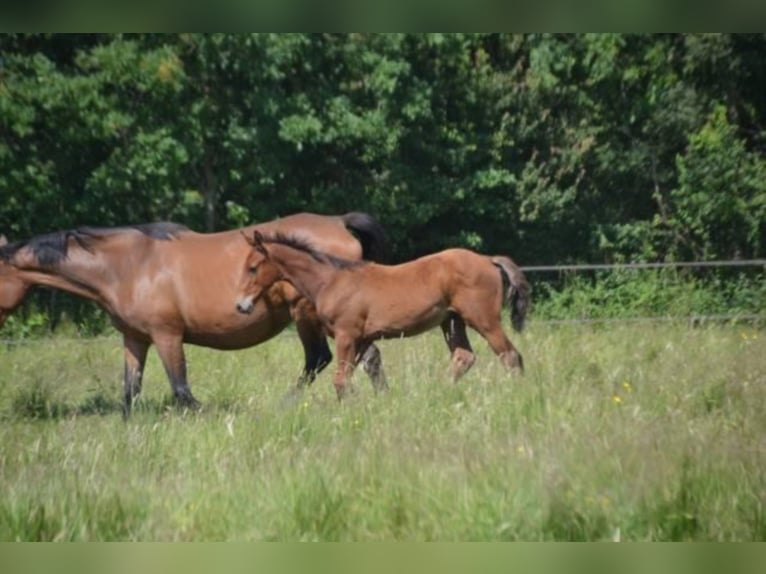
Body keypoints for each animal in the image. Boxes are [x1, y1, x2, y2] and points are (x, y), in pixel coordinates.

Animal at [1, 212, 390, 414]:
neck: (128, 266)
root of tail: (339, 222)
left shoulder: (166, 335)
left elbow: (182, 390)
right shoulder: (135, 338)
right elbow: (129, 393)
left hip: (310, 315)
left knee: (322, 359)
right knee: (365, 358)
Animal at [237, 231, 532, 400]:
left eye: (253, 268)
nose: (241, 306)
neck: (330, 281)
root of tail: (488, 259)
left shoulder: (346, 335)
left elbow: (340, 380)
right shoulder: (361, 339)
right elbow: (350, 377)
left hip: (483, 320)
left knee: (510, 356)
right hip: (451, 321)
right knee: (464, 357)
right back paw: (437, 394)